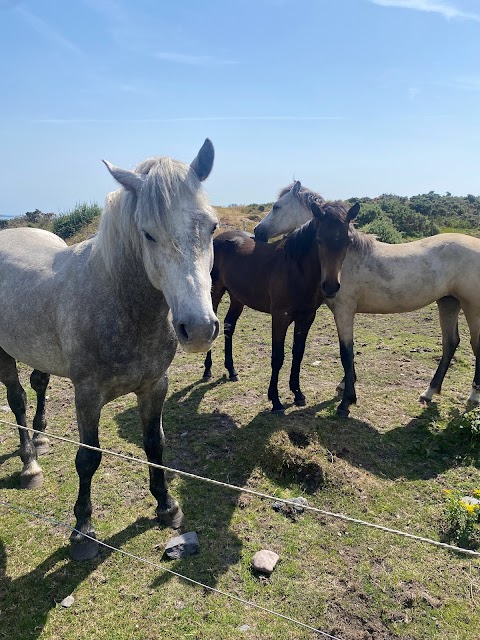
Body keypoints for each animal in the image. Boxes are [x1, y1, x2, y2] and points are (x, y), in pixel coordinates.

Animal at [202, 184, 356, 416]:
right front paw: (275, 400)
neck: (297, 268)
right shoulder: (280, 317)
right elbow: (278, 357)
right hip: (215, 292)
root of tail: (220, 238)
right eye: (319, 240)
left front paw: (298, 393)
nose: (330, 286)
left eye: (347, 241)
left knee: (229, 326)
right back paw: (208, 370)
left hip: (238, 298)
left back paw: (232, 370)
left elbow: (298, 353)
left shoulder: (306, 318)